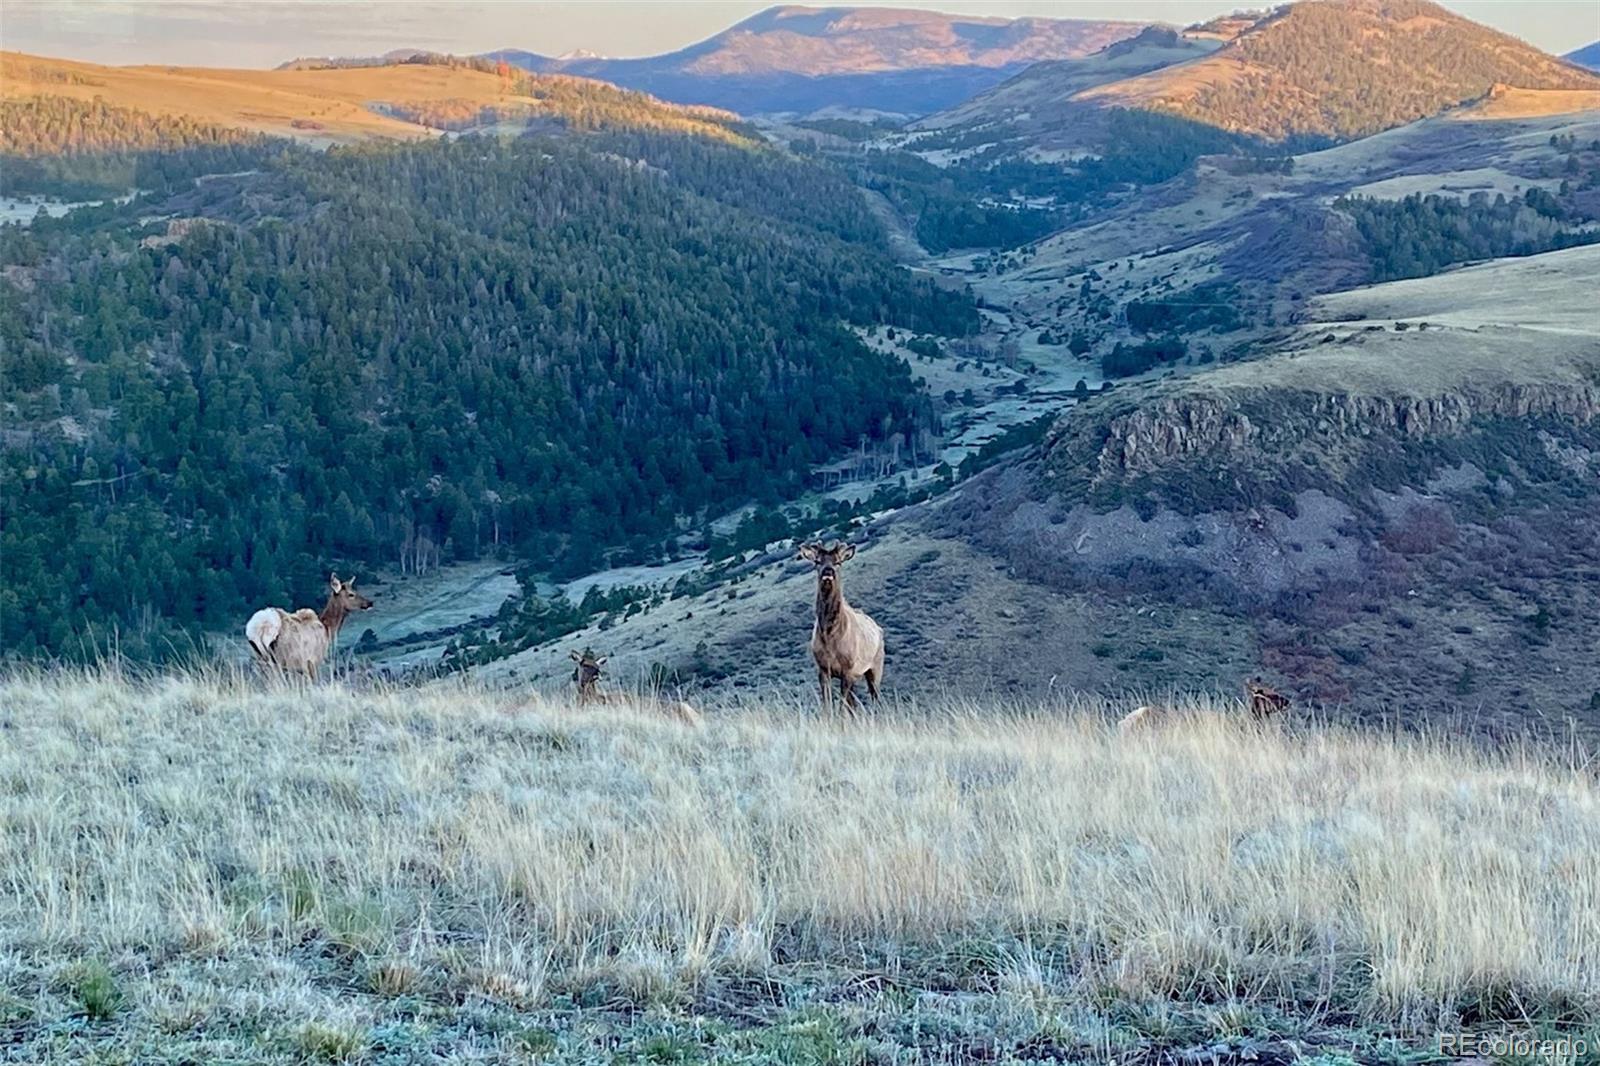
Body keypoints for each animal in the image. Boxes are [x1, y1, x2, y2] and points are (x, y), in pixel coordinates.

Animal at [244, 573, 372, 681]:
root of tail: (259, 629)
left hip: (260, 659)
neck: (328, 629)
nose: (370, 603)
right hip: (282, 659)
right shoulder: (313, 661)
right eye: (351, 594)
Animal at [800, 541, 889, 713]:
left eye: (838, 562)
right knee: (854, 704)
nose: (828, 573)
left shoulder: (848, 669)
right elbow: (828, 705)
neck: (829, 635)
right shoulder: (823, 669)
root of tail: (878, 628)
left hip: (876, 666)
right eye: (817, 562)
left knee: (876, 699)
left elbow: (842, 707)